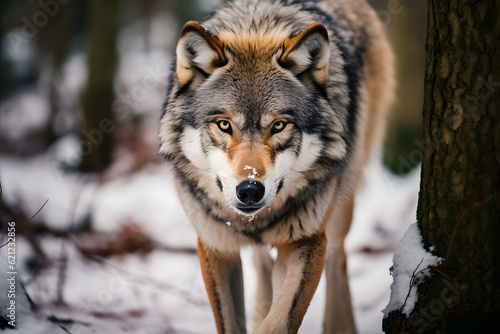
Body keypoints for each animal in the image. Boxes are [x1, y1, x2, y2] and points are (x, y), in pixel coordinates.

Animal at [158, 0, 392, 332]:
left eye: (279, 125)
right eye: (224, 125)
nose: (250, 190)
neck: (257, 28)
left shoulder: (305, 241)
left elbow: (280, 320)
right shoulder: (216, 246)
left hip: (339, 205)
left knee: (338, 257)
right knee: (262, 262)